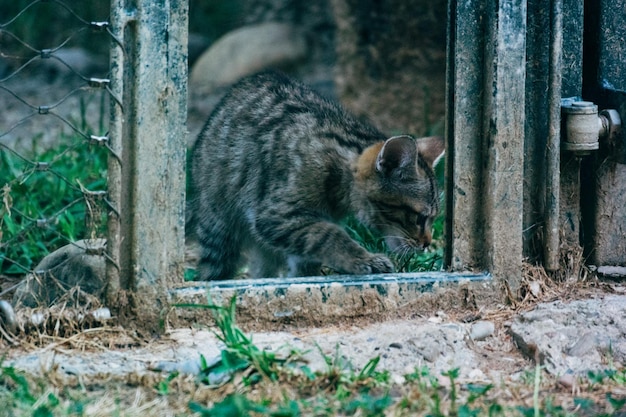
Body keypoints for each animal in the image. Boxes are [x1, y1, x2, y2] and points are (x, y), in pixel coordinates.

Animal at [186, 71, 444, 280]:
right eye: (420, 218)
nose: (427, 244)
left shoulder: (295, 231)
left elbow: (307, 256)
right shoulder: (276, 216)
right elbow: (329, 235)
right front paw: (363, 259)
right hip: (219, 229)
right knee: (211, 272)